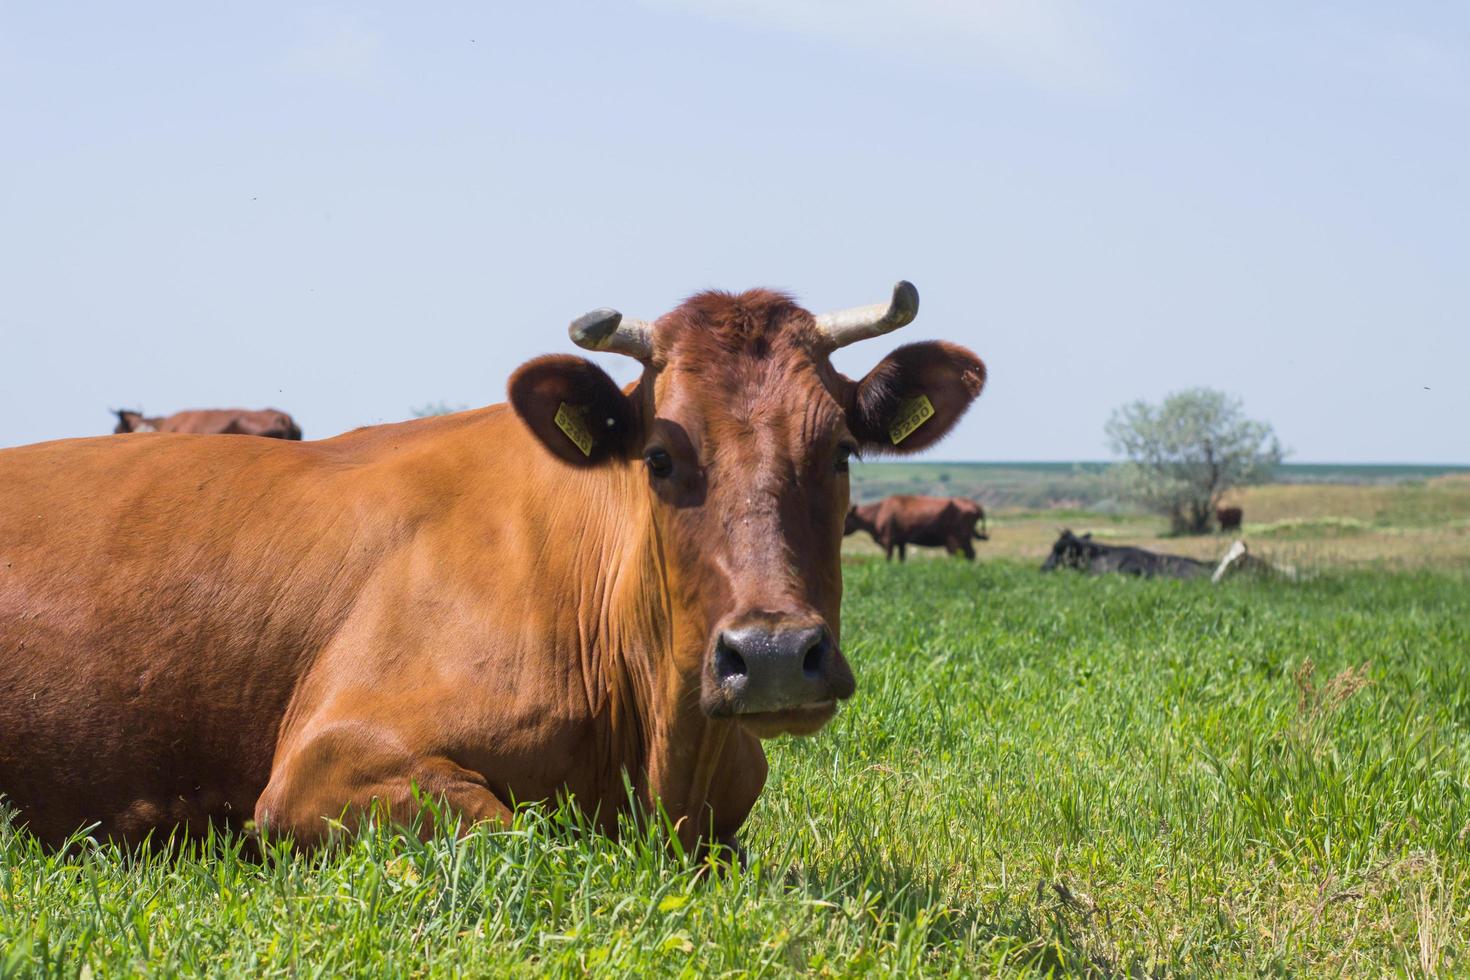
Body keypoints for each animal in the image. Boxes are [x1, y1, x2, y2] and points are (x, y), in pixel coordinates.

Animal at [846, 493, 981, 564]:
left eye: (846, 516)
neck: (879, 510)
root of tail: (974, 505)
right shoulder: (901, 542)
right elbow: (901, 558)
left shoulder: (888, 540)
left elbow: (889, 557)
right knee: (970, 554)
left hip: (957, 539)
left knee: (964, 554)